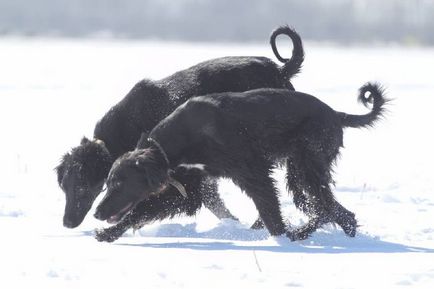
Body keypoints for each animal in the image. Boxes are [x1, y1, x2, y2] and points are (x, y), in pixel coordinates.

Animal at [94, 84, 386, 241]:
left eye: (119, 184)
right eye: (107, 183)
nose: (97, 213)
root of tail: (336, 114)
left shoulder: (254, 174)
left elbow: (270, 213)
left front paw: (279, 240)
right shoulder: (188, 189)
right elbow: (140, 212)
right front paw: (109, 234)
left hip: (308, 166)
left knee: (331, 210)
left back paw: (299, 235)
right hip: (300, 169)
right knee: (333, 211)